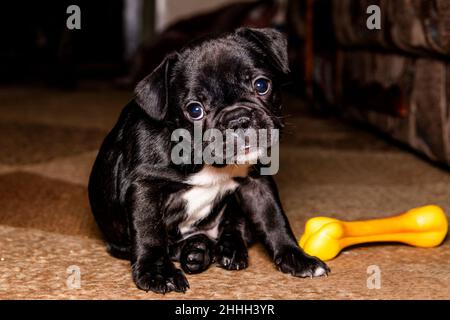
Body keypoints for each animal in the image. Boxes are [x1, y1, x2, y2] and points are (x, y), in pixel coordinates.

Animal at [88, 27, 328, 292]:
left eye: (262, 84)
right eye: (195, 110)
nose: (238, 119)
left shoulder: (257, 183)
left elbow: (273, 218)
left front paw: (296, 257)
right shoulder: (145, 187)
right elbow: (149, 231)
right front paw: (158, 272)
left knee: (234, 226)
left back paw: (227, 250)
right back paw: (196, 251)